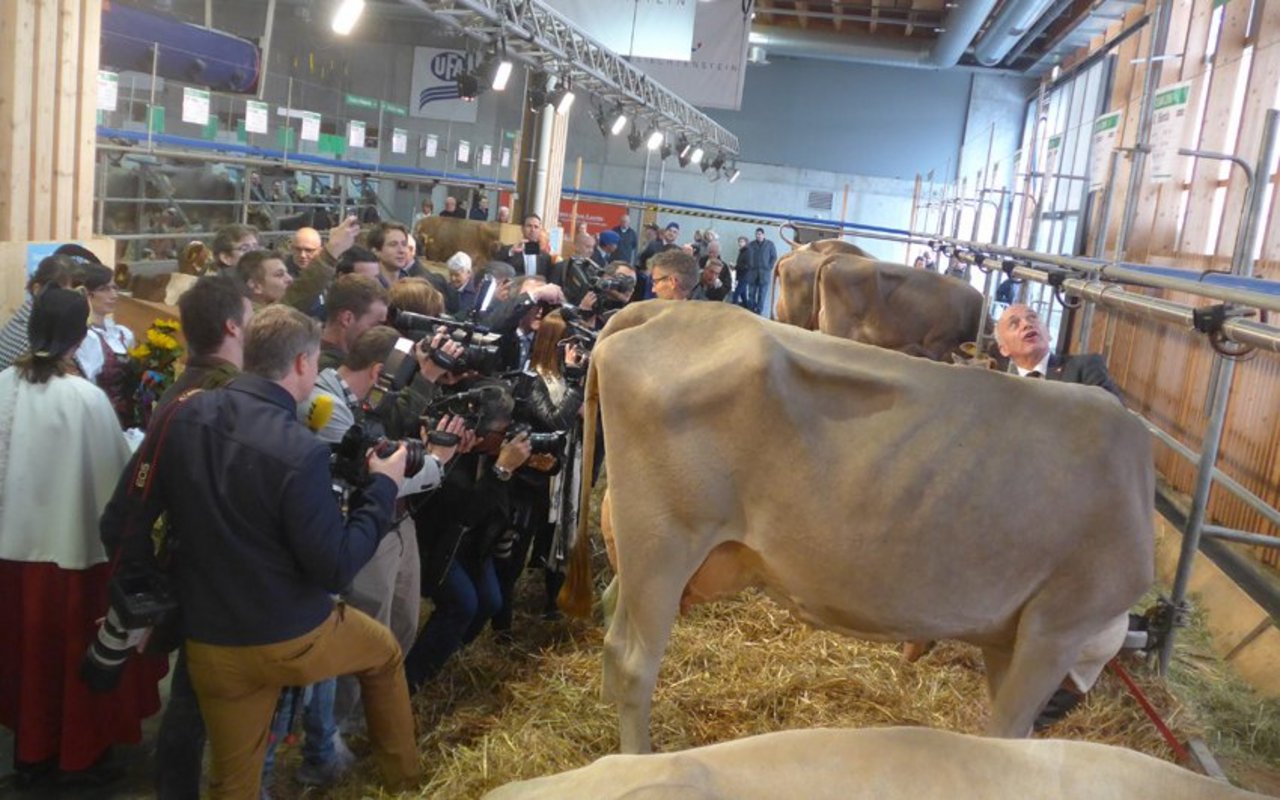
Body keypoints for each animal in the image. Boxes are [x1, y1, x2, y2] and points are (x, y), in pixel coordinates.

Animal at [559, 301, 1154, 754]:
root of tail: (666, 309)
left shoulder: (1008, 635)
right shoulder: (1056, 626)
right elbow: (1008, 733)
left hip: (640, 545)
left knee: (613, 625)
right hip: (662, 540)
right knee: (634, 663)